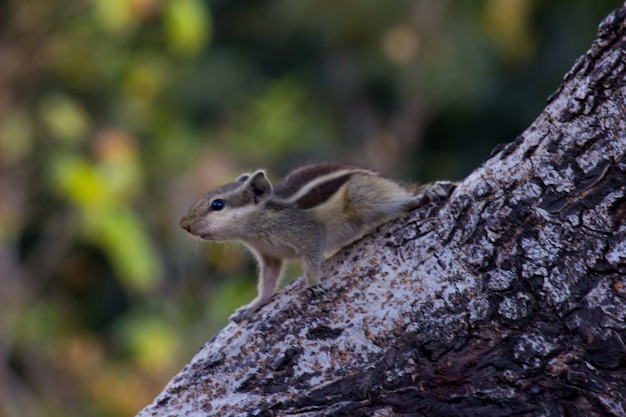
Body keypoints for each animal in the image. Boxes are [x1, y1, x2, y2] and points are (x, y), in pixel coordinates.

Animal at [178, 162, 450, 322]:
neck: (256, 227)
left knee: (401, 201)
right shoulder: (269, 256)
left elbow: (310, 256)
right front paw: (253, 306)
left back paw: (422, 195)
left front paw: (313, 285)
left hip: (364, 194)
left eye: (217, 204)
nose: (184, 225)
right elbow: (267, 282)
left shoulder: (308, 233)